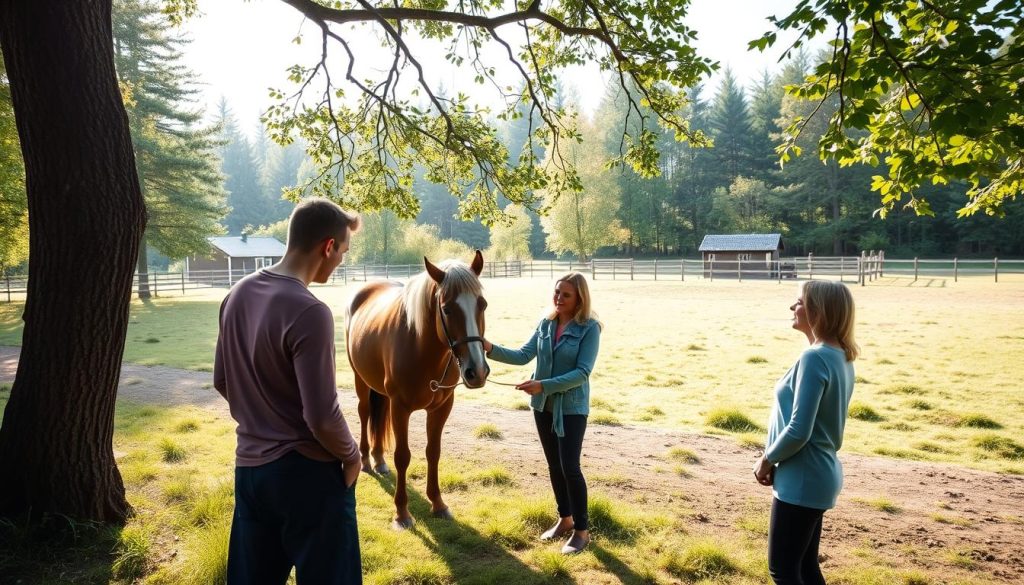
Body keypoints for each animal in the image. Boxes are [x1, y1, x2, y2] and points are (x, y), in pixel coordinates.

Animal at [346, 249, 489, 528]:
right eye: (446, 309)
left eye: (483, 304)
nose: (476, 371)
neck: (422, 349)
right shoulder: (401, 408)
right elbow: (403, 456)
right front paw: (402, 513)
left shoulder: (441, 408)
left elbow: (433, 452)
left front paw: (438, 503)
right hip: (361, 380)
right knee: (365, 412)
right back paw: (366, 459)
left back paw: (379, 459)